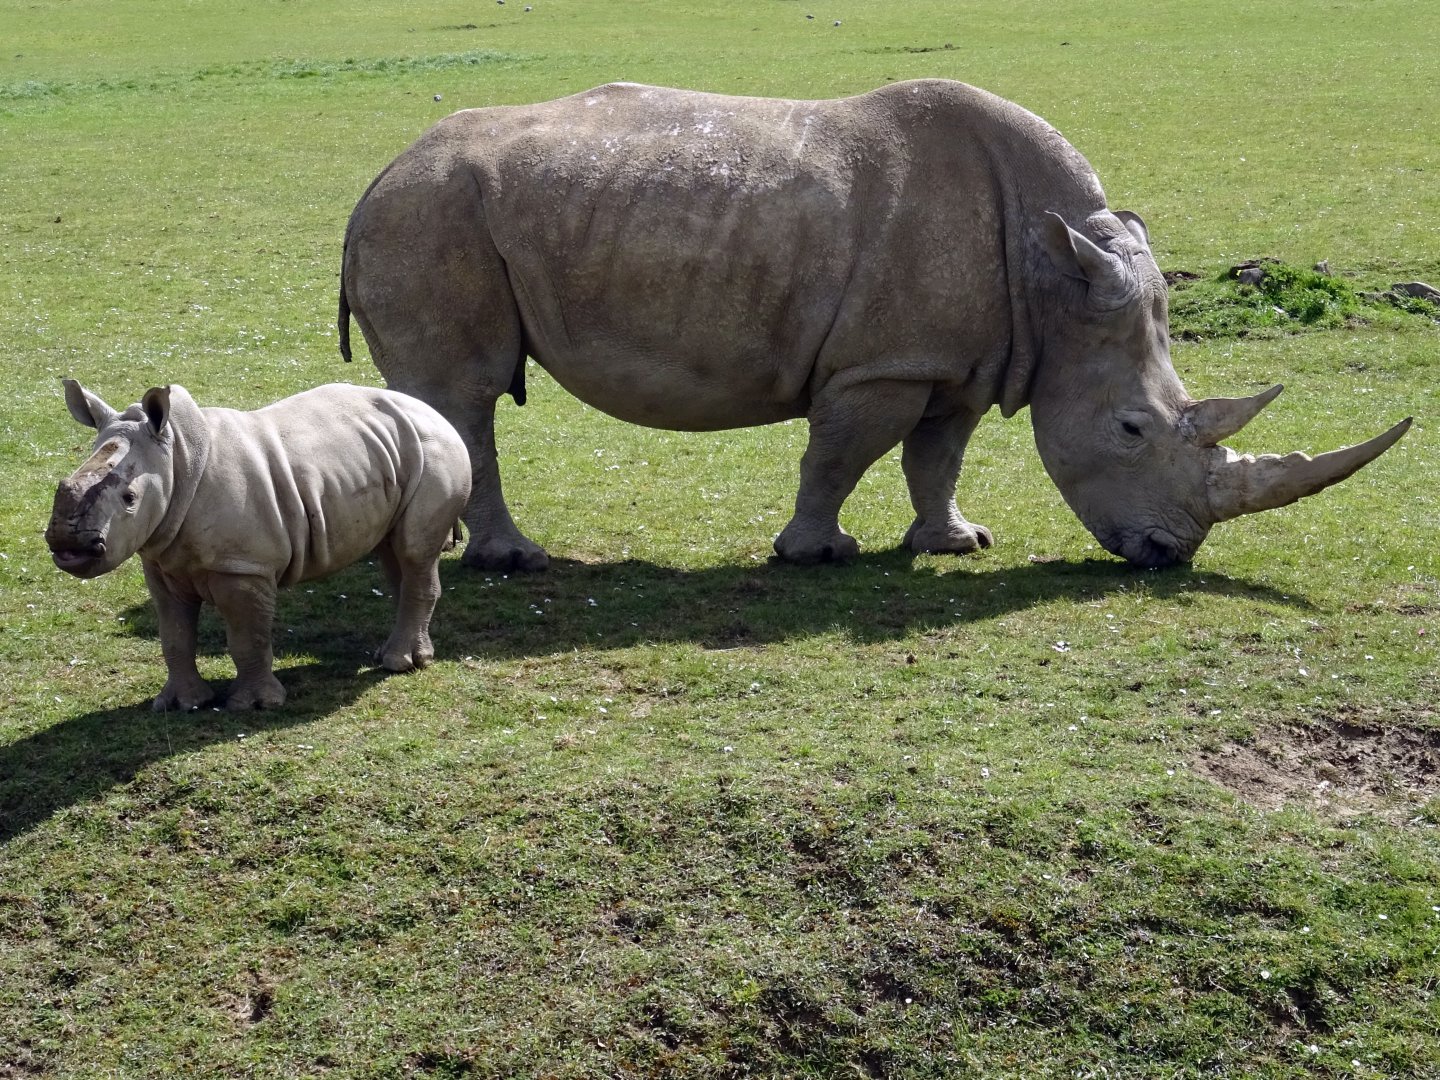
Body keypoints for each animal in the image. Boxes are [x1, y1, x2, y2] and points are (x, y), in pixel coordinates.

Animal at [45, 381, 471, 711]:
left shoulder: (243, 567)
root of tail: (433, 412)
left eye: (130, 498)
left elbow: (246, 637)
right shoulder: (161, 563)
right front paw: (182, 705)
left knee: (414, 552)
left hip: (437, 451)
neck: (177, 460)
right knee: (392, 551)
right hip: (389, 454)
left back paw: (399, 664)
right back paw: (393, 654)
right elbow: (174, 635)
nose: (67, 543)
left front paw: (252, 705)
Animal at [338, 79, 1410, 571]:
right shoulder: (883, 363)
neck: (1056, 274)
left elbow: (937, 456)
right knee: (467, 394)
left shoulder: (962, 358)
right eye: (1132, 429)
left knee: (446, 402)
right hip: (433, 214)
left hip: (437, 212)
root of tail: (376, 176)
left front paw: (955, 543)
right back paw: (511, 561)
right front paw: (816, 554)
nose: (1169, 555)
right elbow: (842, 452)